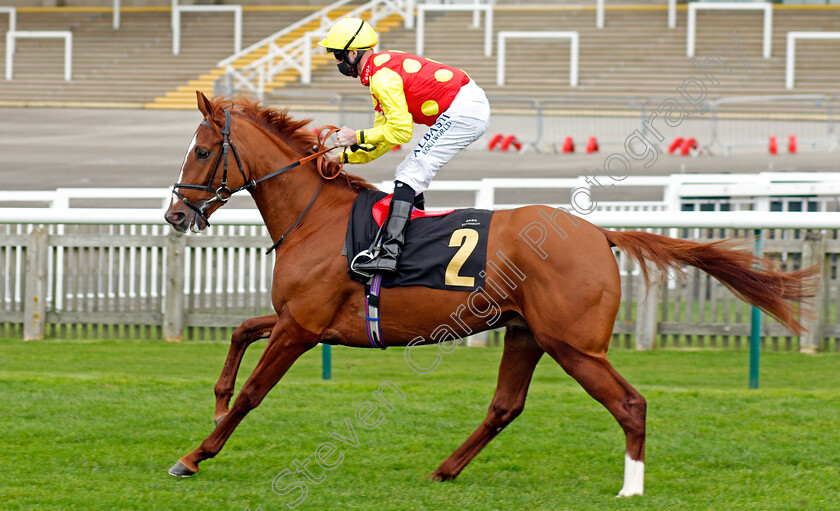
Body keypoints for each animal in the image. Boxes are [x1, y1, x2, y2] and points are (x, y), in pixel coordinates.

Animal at [162, 92, 812, 496]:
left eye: (201, 151)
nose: (175, 214)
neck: (315, 217)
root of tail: (599, 233)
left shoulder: (301, 327)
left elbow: (254, 393)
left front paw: (193, 456)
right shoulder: (298, 319)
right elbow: (240, 334)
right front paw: (215, 400)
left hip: (574, 345)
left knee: (629, 404)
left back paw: (631, 487)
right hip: (527, 334)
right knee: (506, 406)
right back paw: (444, 470)